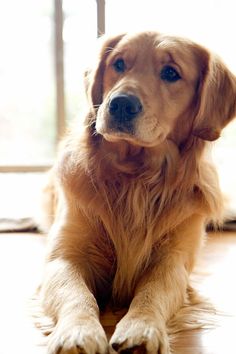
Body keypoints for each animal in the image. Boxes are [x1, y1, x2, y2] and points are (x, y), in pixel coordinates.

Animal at [35, 31, 236, 354]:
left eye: (171, 73)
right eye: (118, 63)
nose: (120, 104)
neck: (135, 177)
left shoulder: (173, 261)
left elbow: (153, 291)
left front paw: (142, 329)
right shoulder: (64, 256)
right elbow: (75, 293)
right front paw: (78, 332)